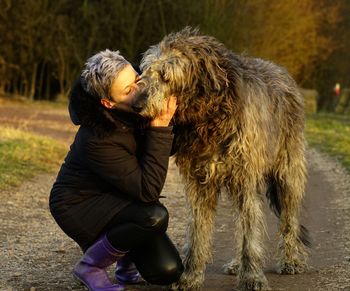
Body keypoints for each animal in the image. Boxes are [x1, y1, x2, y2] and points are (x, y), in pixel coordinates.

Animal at [133, 28, 310, 291]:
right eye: (145, 71)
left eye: (165, 75)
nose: (136, 105)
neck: (209, 116)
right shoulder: (199, 182)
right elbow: (198, 231)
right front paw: (190, 277)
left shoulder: (246, 177)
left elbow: (250, 234)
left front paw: (252, 277)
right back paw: (237, 264)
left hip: (288, 170)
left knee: (288, 218)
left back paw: (290, 260)